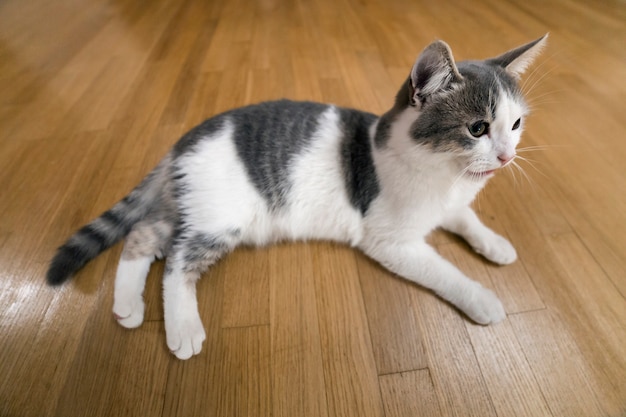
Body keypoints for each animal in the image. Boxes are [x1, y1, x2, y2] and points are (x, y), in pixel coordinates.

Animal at [47, 35, 544, 358]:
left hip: (189, 204)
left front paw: (495, 244)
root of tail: (182, 142)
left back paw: (128, 306)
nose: (506, 156)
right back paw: (183, 327)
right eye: (477, 128)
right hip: (222, 217)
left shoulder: (450, 203)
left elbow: (464, 217)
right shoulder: (390, 241)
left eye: (516, 124)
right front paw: (482, 298)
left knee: (143, 235)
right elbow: (444, 271)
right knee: (175, 263)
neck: (445, 176)